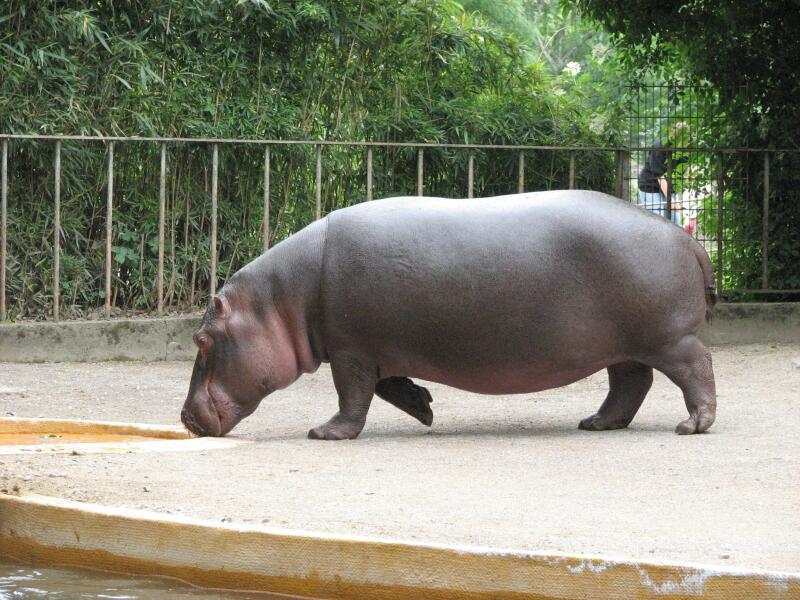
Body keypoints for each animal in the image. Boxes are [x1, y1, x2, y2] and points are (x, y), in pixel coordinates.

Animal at [181, 191, 717, 440]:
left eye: (200, 341)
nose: (184, 417)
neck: (281, 300)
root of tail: (686, 237)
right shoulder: (375, 349)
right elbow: (388, 386)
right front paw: (425, 409)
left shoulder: (351, 351)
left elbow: (353, 395)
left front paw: (325, 433)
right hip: (627, 345)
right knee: (630, 383)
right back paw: (596, 423)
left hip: (670, 339)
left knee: (696, 370)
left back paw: (692, 425)